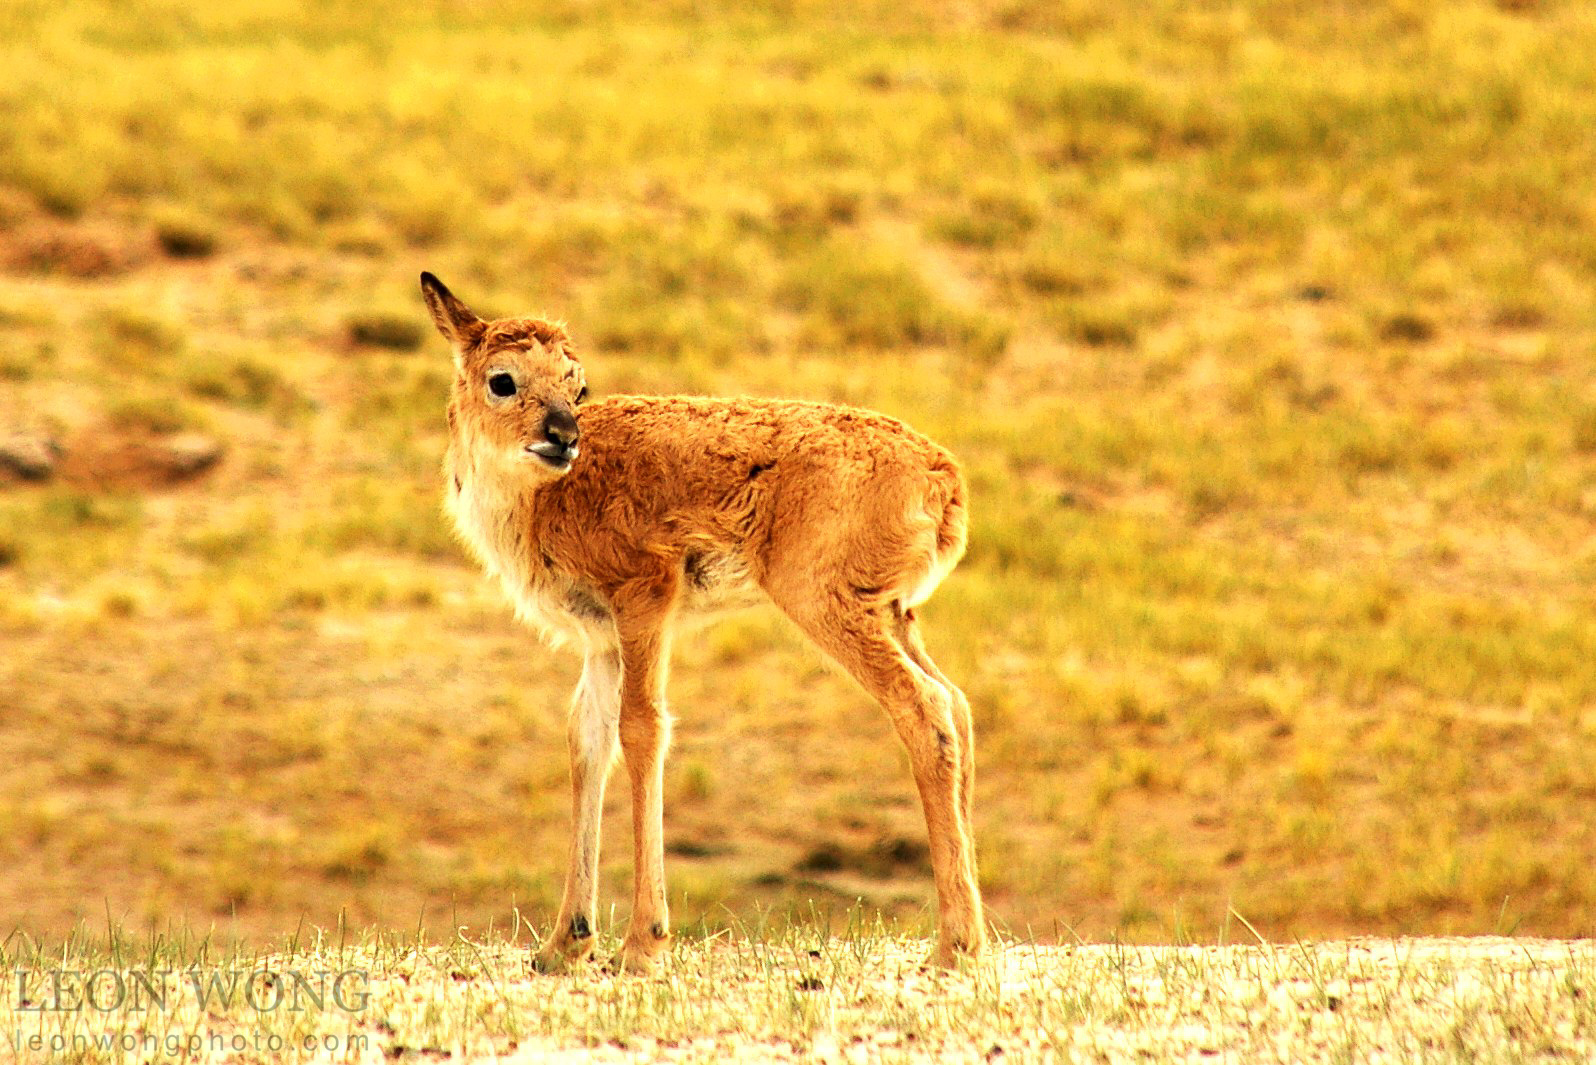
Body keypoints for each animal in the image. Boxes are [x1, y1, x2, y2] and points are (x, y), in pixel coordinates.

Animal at [418, 271, 976, 970]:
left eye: (578, 385)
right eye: (503, 379)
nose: (563, 436)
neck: (545, 499)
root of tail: (944, 475)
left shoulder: (645, 598)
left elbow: (642, 729)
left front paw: (641, 943)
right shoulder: (601, 640)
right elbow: (586, 743)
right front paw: (563, 944)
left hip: (829, 608)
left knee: (923, 707)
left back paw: (953, 946)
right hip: (894, 614)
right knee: (957, 703)